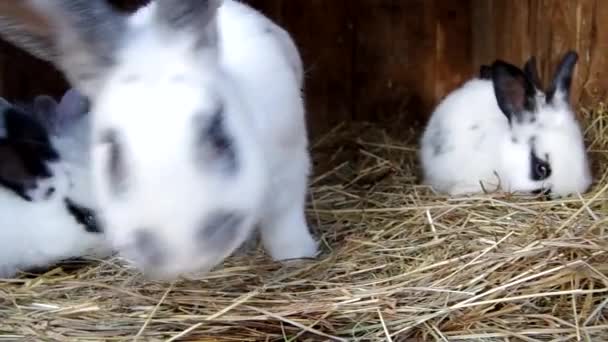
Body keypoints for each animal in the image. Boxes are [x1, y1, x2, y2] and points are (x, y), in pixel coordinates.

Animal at [1, 0, 318, 278]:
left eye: (218, 134)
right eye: (112, 152)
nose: (183, 254)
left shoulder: (290, 165)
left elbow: (285, 221)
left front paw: (296, 257)